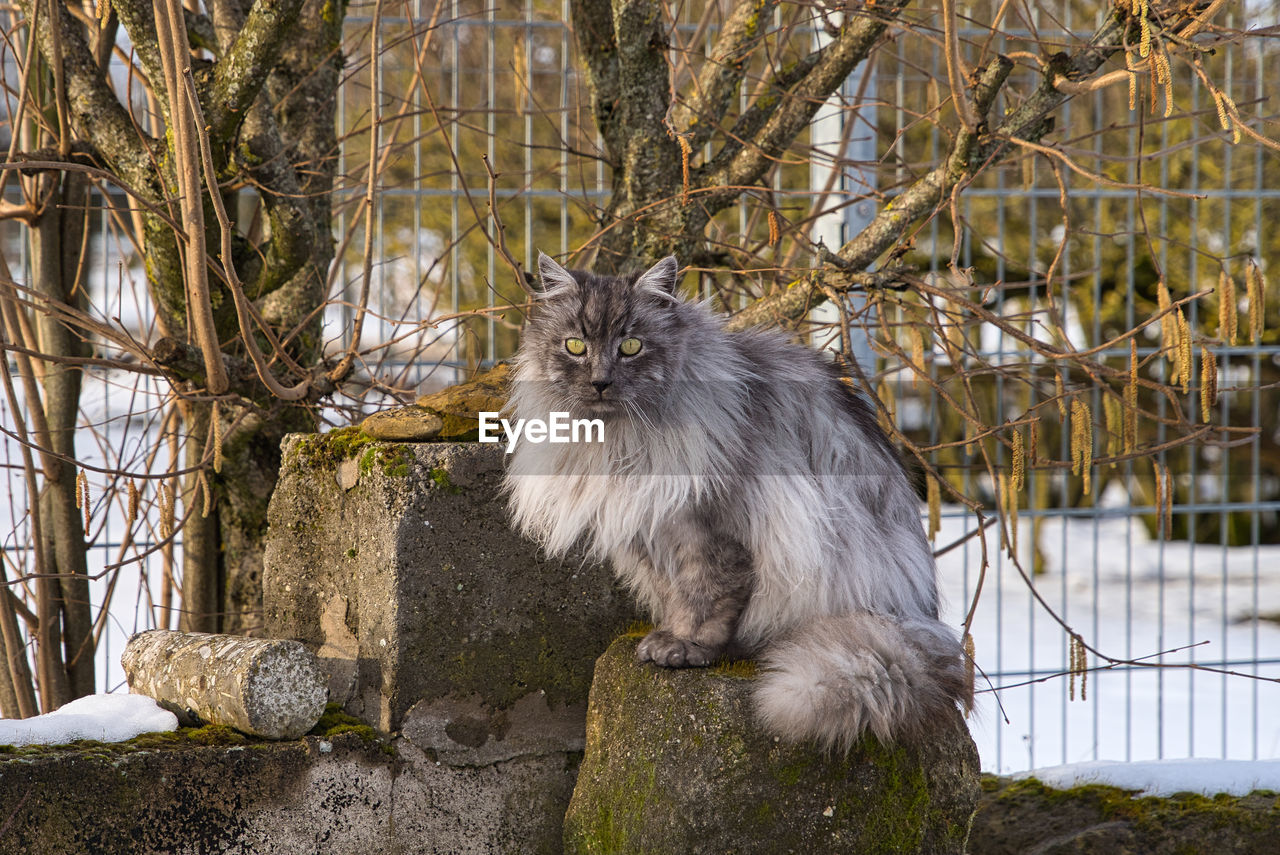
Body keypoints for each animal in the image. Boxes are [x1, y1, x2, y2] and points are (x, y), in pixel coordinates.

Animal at [501, 252, 967, 747]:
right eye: (574, 346)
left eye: (630, 346)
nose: (600, 382)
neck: (615, 443)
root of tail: (918, 616)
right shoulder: (650, 531)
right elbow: (673, 592)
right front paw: (667, 635)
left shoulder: (710, 531)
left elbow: (707, 595)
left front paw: (687, 647)